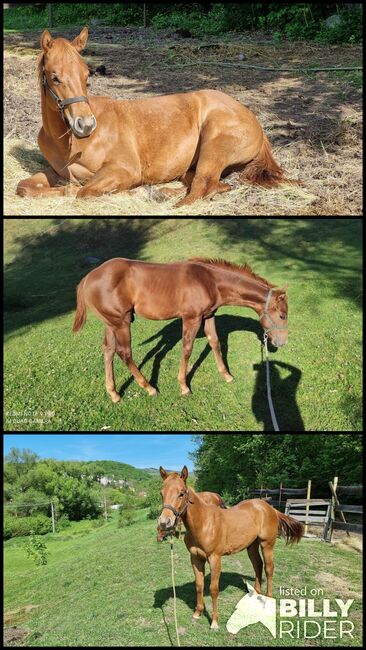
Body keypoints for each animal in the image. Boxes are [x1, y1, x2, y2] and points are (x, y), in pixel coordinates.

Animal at [17, 26, 298, 205]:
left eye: (87, 74)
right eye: (55, 77)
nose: (85, 125)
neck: (70, 143)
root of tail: (253, 119)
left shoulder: (125, 170)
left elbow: (83, 191)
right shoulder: (57, 173)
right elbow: (25, 188)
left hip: (214, 146)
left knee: (201, 188)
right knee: (209, 184)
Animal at [72, 256, 288, 400]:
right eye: (282, 315)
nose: (281, 342)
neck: (209, 281)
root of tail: (87, 279)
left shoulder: (208, 316)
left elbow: (215, 342)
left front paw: (226, 375)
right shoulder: (191, 319)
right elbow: (187, 349)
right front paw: (184, 386)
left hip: (111, 323)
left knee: (108, 350)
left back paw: (114, 393)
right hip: (122, 322)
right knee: (124, 352)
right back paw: (149, 387)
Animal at [157, 466, 304, 628]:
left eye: (181, 493)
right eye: (161, 493)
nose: (164, 522)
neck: (204, 523)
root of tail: (270, 508)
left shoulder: (215, 559)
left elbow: (213, 589)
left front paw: (214, 622)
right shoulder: (195, 558)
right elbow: (199, 585)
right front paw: (197, 613)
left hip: (267, 544)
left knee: (269, 568)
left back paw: (267, 599)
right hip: (252, 545)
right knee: (257, 565)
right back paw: (255, 593)